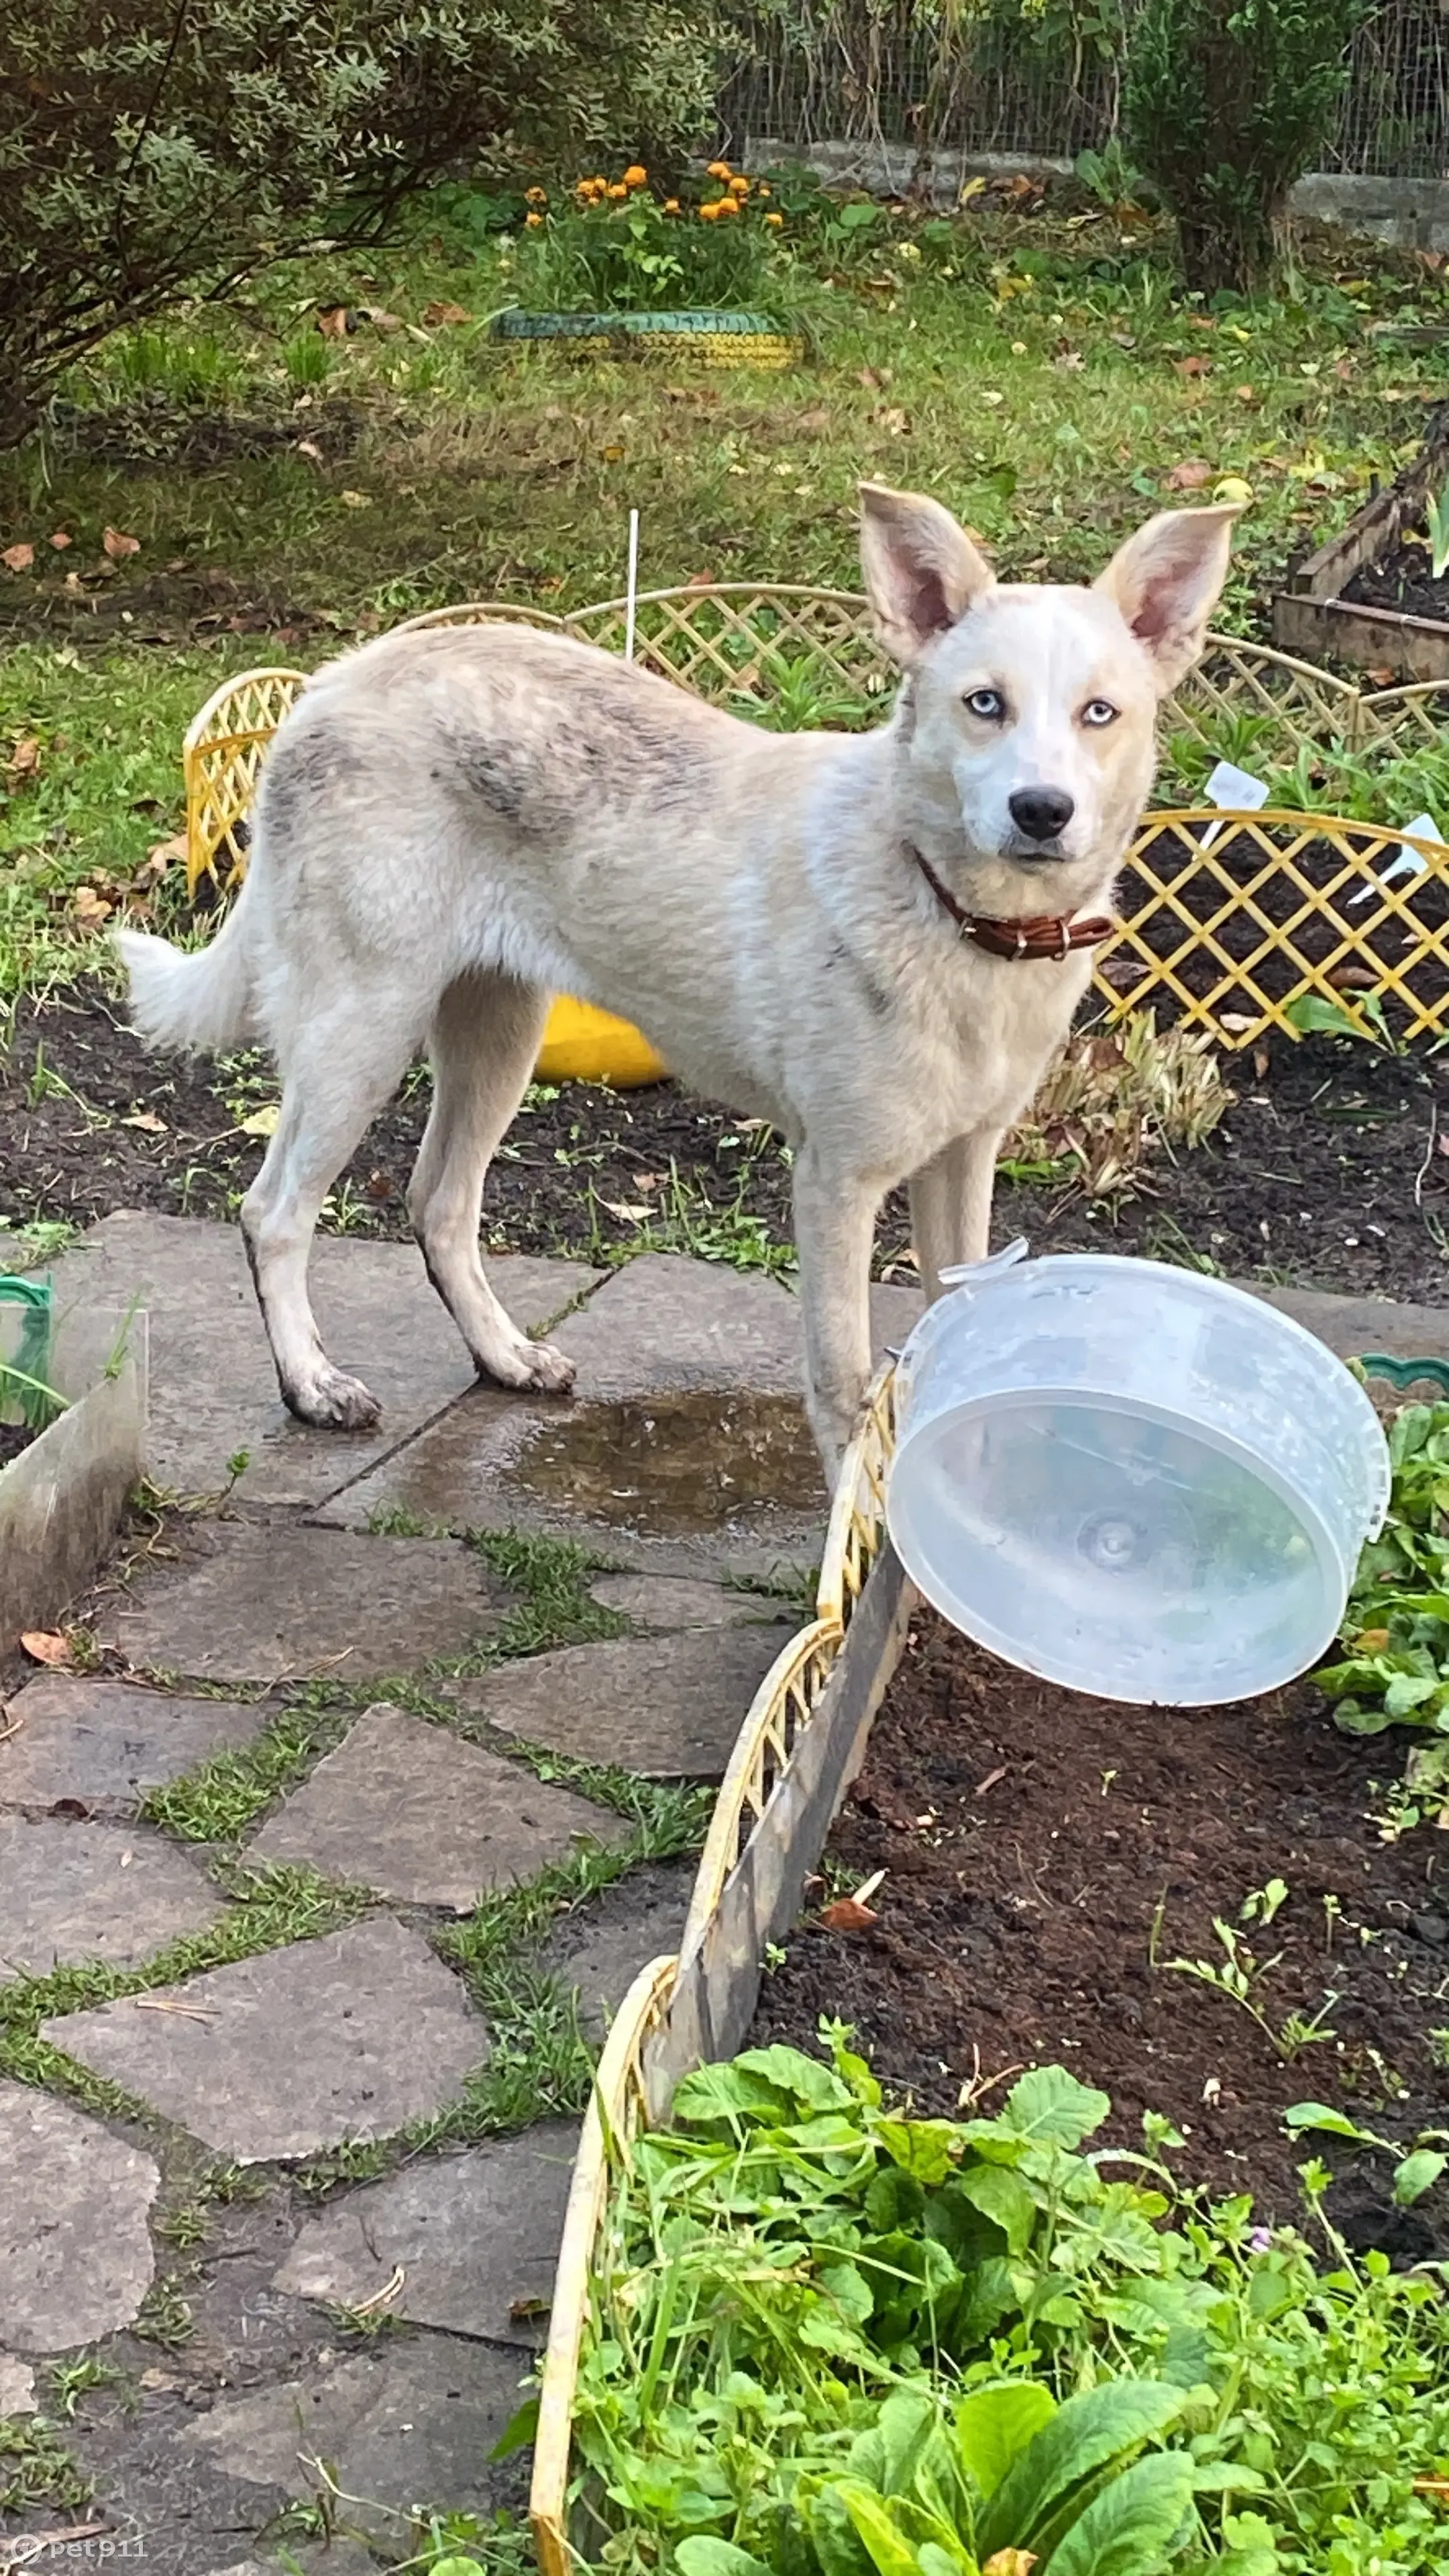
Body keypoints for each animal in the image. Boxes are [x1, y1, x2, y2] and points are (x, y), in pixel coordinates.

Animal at [121, 486, 1227, 1473]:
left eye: (1099, 714)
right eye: (984, 705)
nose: (1042, 811)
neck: (951, 911)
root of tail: (332, 680)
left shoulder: (963, 1162)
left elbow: (956, 1339)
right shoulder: (836, 1182)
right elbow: (841, 1382)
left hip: (497, 1034)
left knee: (440, 1204)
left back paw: (504, 1356)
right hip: (360, 1031)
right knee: (275, 1214)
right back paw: (311, 1384)